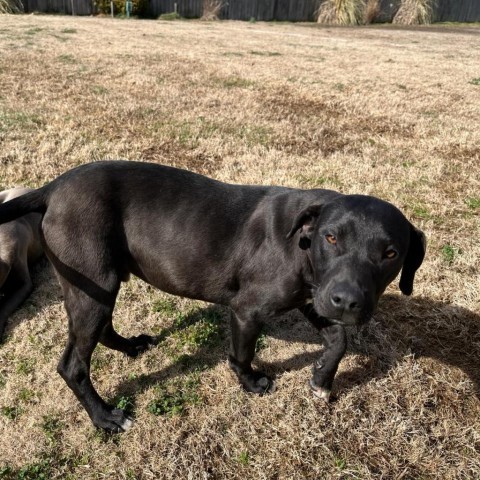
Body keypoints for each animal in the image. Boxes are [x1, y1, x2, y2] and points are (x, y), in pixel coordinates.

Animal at [0, 161, 426, 432]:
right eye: (332, 237)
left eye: (391, 254)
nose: (347, 301)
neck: (302, 240)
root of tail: (53, 187)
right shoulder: (248, 310)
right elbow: (242, 354)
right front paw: (252, 383)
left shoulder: (314, 298)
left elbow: (339, 340)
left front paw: (321, 378)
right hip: (94, 284)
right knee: (73, 364)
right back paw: (105, 417)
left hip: (99, 286)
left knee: (102, 330)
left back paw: (131, 347)